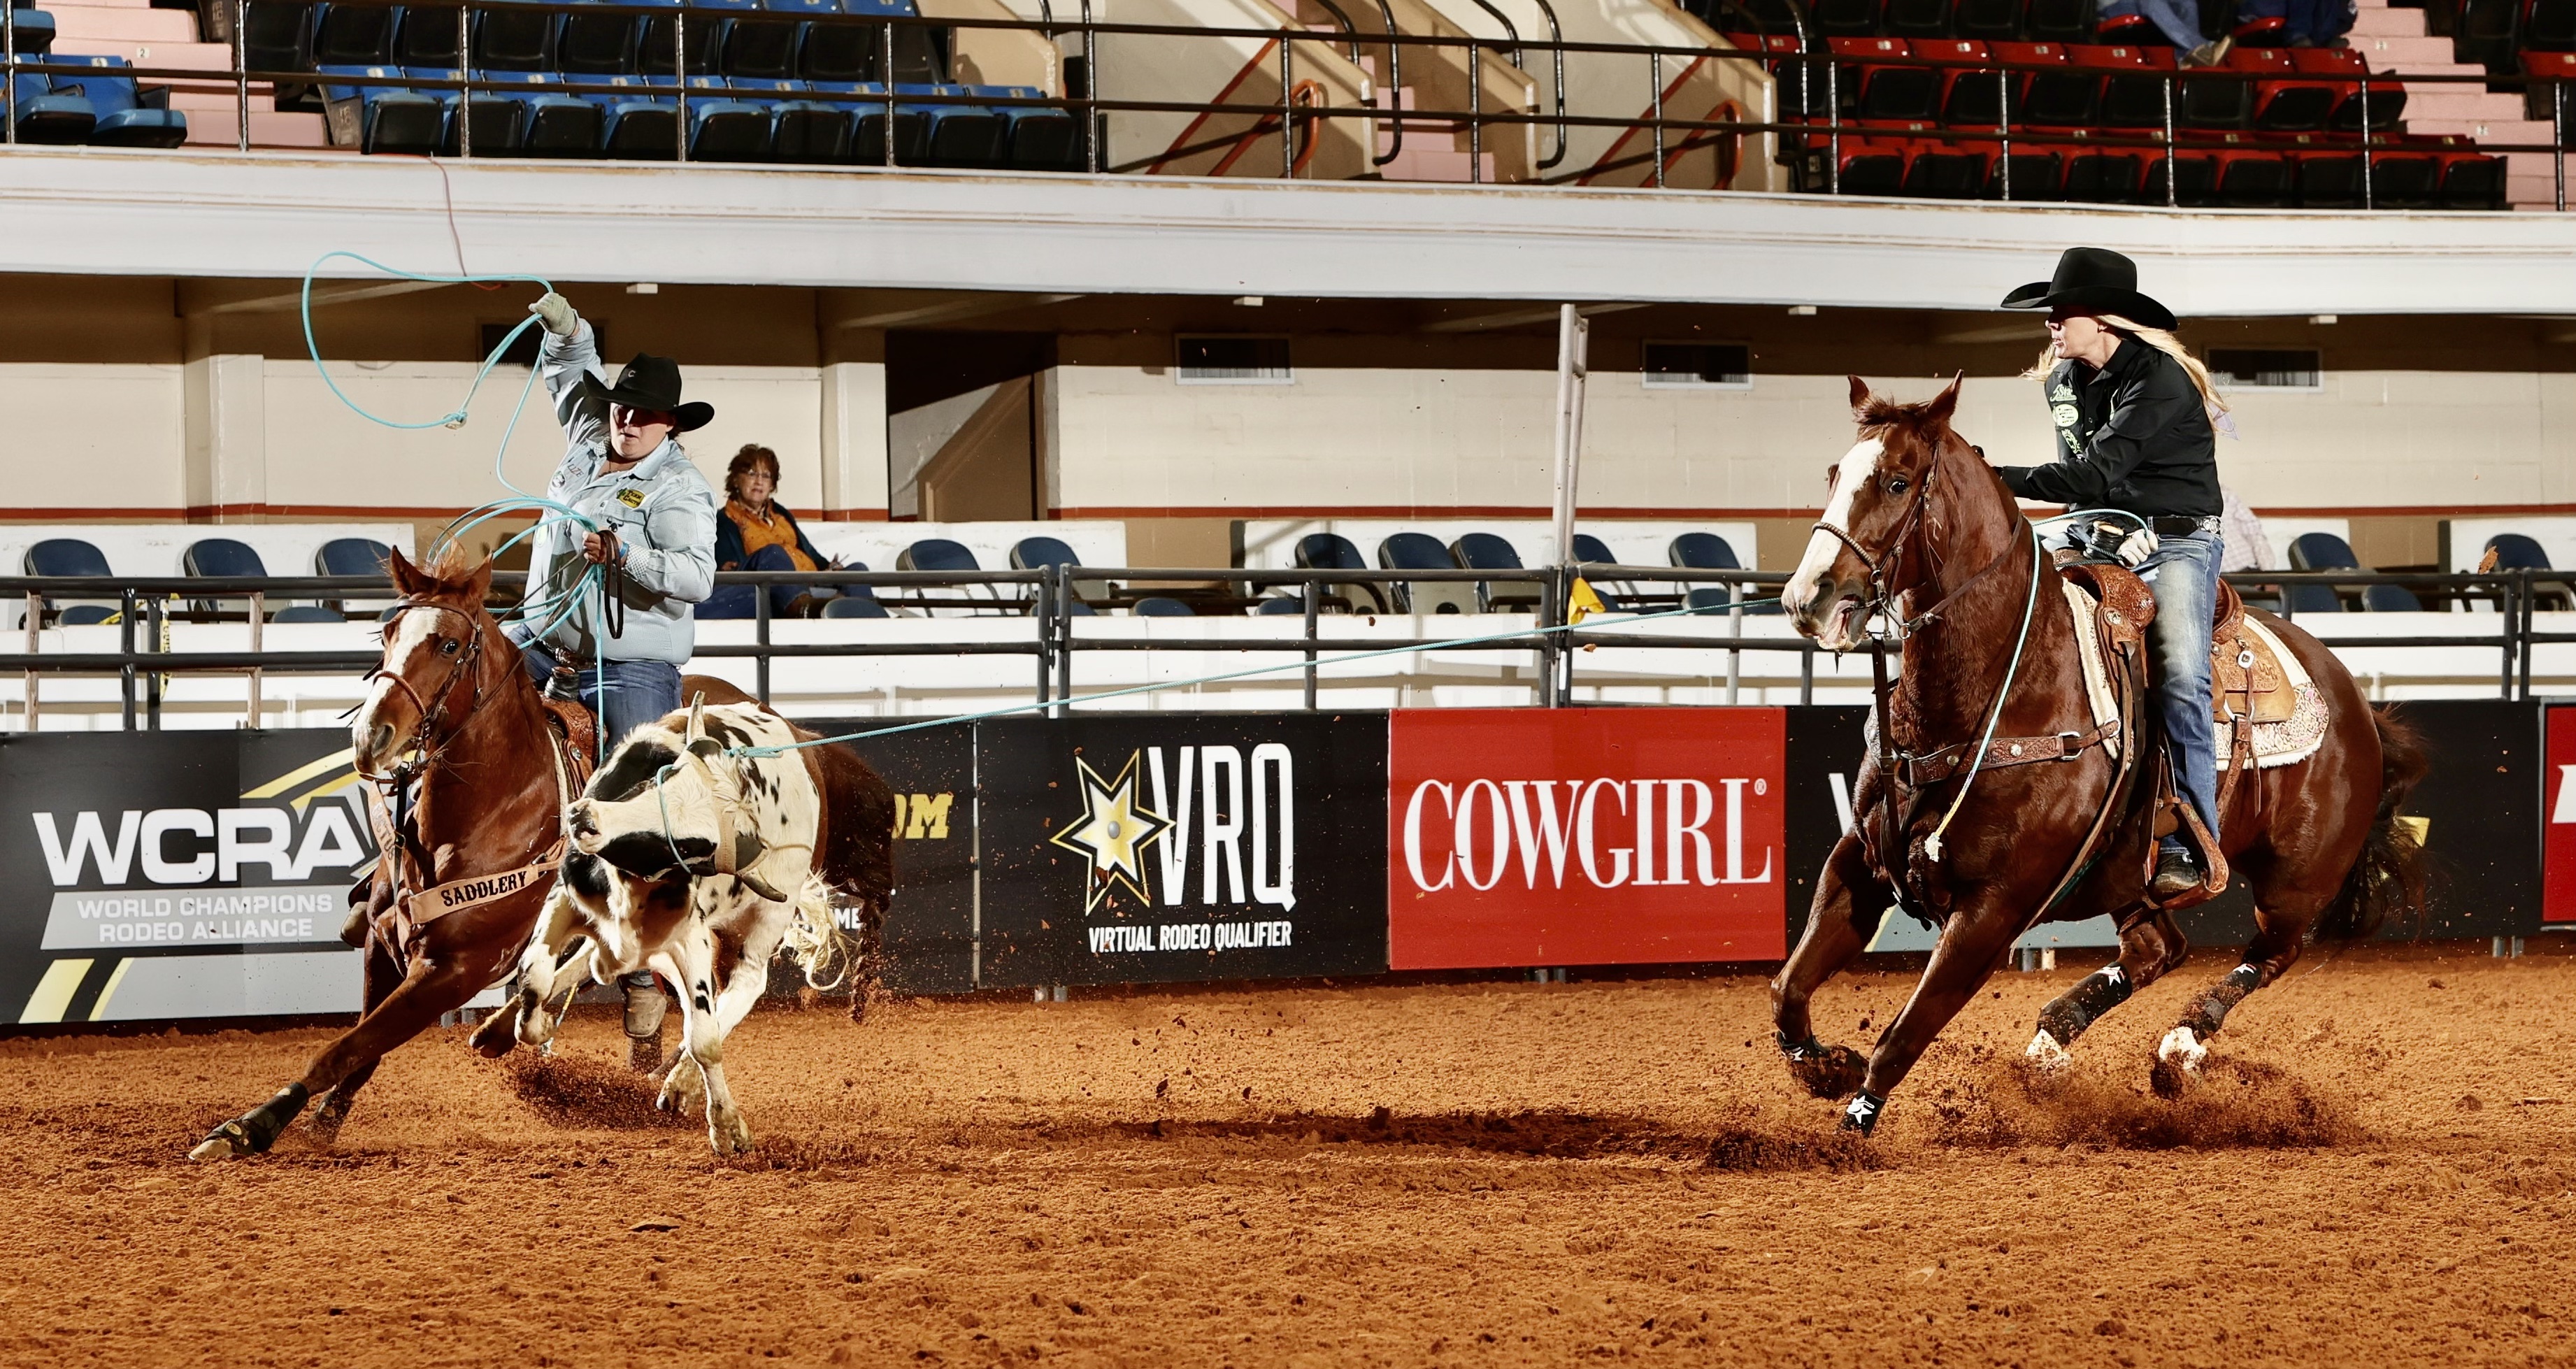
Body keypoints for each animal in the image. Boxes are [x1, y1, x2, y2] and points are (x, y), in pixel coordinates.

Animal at [188, 547, 749, 1160]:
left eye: (450, 646)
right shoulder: (383, 948)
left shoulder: (454, 971)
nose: (370, 736)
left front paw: (249, 1126)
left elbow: (341, 1049)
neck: (492, 811)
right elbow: (362, 1049)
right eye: (388, 632)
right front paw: (318, 1120)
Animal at [489, 699, 897, 1154]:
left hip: (764, 920)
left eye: (690, 845)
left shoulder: (691, 940)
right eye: (661, 777)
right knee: (585, 963)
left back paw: (682, 1084)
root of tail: (802, 741)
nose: (585, 817)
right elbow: (535, 978)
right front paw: (533, 1025)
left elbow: (705, 1038)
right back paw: (494, 1031)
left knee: (740, 990)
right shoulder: (567, 895)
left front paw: (727, 1127)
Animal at [1769, 376, 2426, 1134]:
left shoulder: (1996, 908)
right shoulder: (1863, 861)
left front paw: (1851, 1128)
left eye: (1898, 481)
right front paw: (1825, 1067)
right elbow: (1788, 988)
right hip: (2130, 874)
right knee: (2159, 948)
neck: (2006, 680)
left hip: (2296, 881)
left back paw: (2179, 1048)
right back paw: (2053, 1041)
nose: (1807, 596)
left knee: (2272, 951)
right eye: (1834, 475)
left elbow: (1905, 1033)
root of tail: (2356, 701)